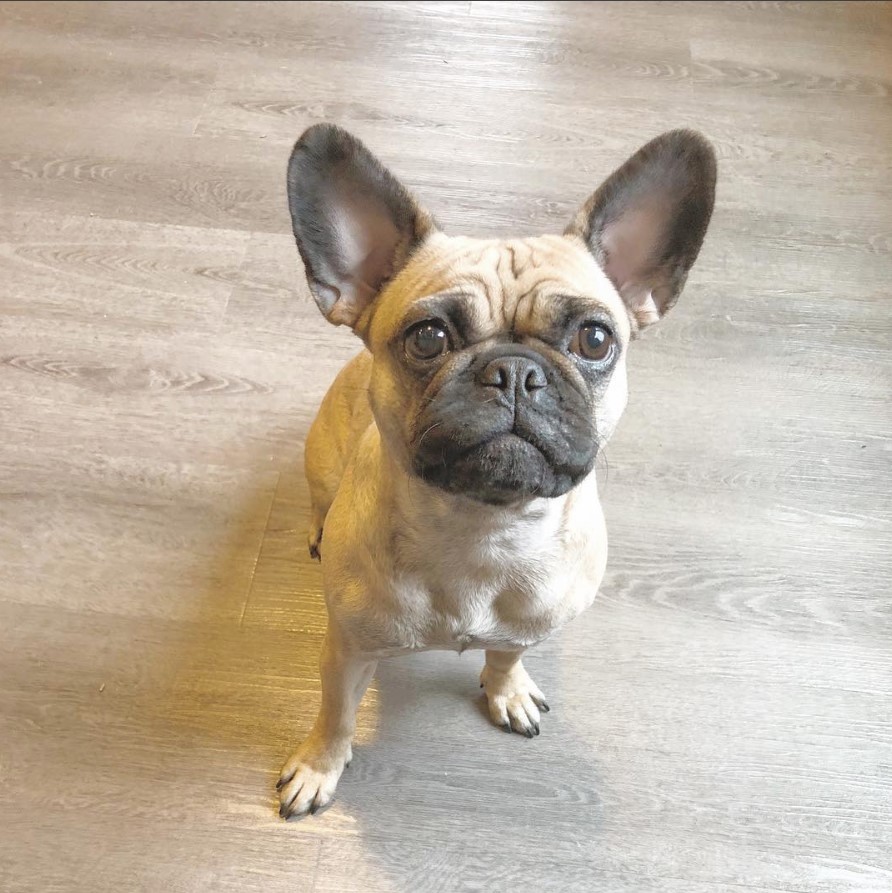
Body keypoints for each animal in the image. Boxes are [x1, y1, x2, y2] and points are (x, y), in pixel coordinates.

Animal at [276, 122, 716, 820]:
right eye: (427, 337)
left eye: (595, 339)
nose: (514, 371)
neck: (484, 531)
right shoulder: (346, 653)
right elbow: (336, 717)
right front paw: (320, 767)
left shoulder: (529, 626)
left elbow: (506, 656)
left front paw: (506, 690)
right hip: (319, 459)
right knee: (320, 498)